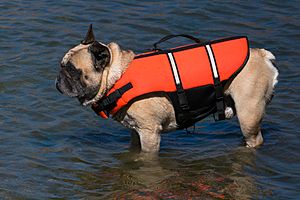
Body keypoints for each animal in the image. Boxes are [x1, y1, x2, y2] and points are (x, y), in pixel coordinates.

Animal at [56, 25, 278, 153]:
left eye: (72, 71)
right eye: (62, 65)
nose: (58, 79)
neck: (117, 77)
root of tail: (262, 55)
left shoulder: (150, 134)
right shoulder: (136, 132)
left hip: (248, 115)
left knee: (254, 138)